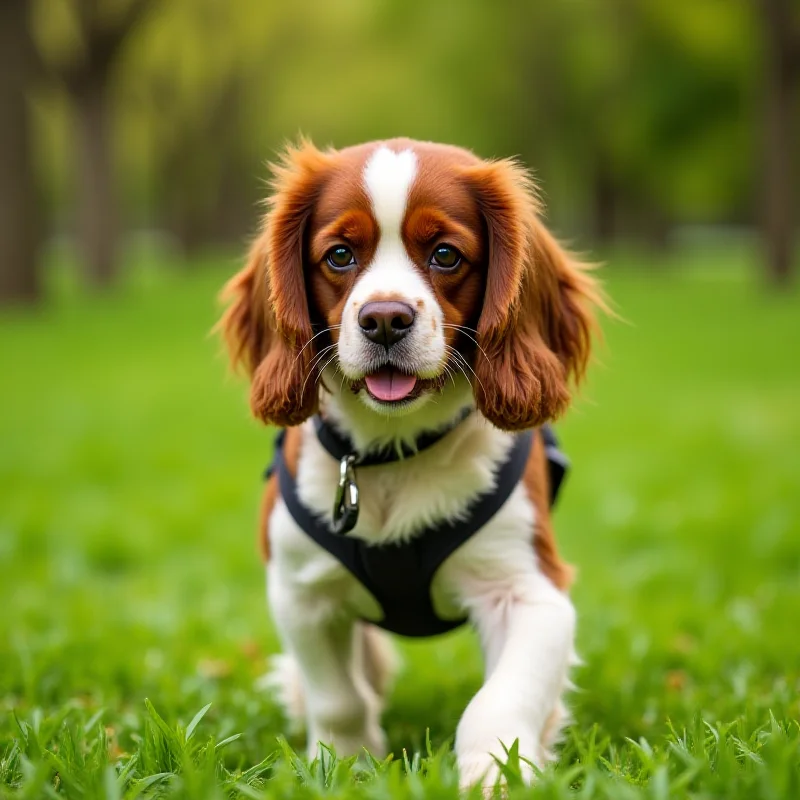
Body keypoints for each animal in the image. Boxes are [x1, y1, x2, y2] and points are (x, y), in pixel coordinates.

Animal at [219, 138, 600, 788]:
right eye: (339, 255)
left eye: (446, 255)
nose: (385, 319)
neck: (394, 450)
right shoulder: (300, 592)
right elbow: (339, 698)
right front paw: (341, 764)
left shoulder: (530, 593)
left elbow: (498, 703)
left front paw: (494, 777)